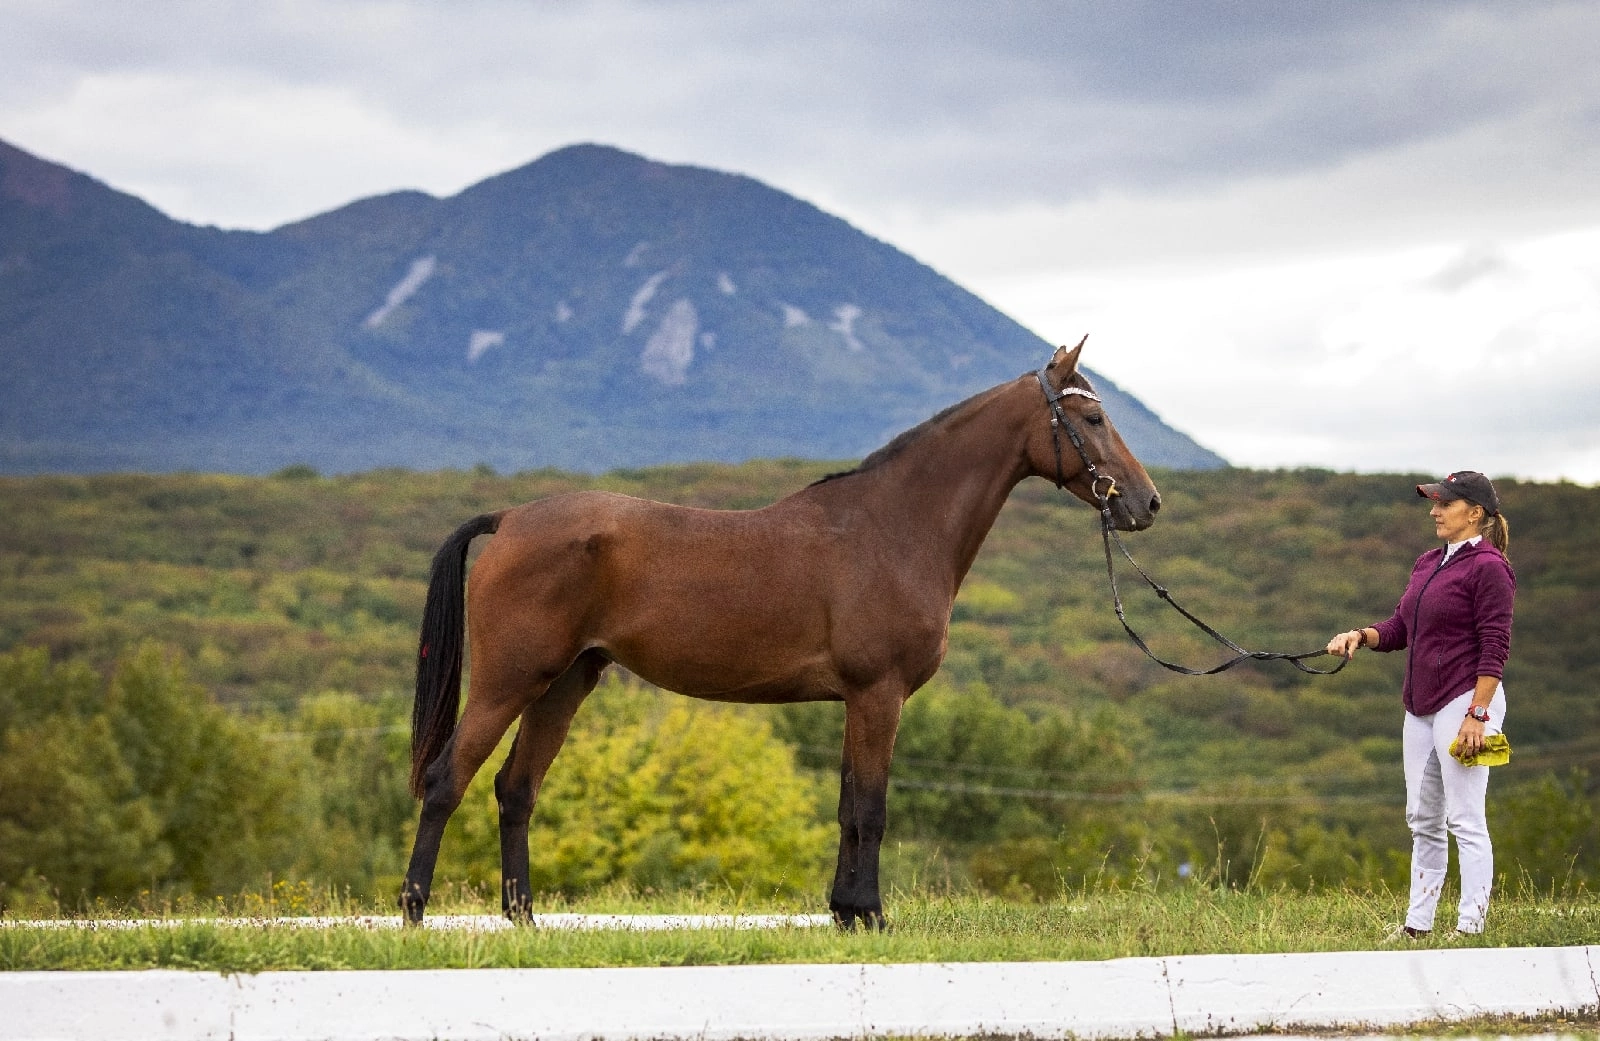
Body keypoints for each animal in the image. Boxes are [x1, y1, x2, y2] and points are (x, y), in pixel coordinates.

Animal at [395, 340, 1158, 927]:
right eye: (1092, 416)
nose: (1147, 503)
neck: (893, 526)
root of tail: (509, 518)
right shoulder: (878, 694)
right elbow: (870, 809)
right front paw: (869, 914)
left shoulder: (860, 701)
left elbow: (849, 805)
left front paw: (846, 911)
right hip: (509, 680)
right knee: (446, 780)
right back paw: (413, 911)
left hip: (566, 682)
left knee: (515, 790)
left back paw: (523, 920)